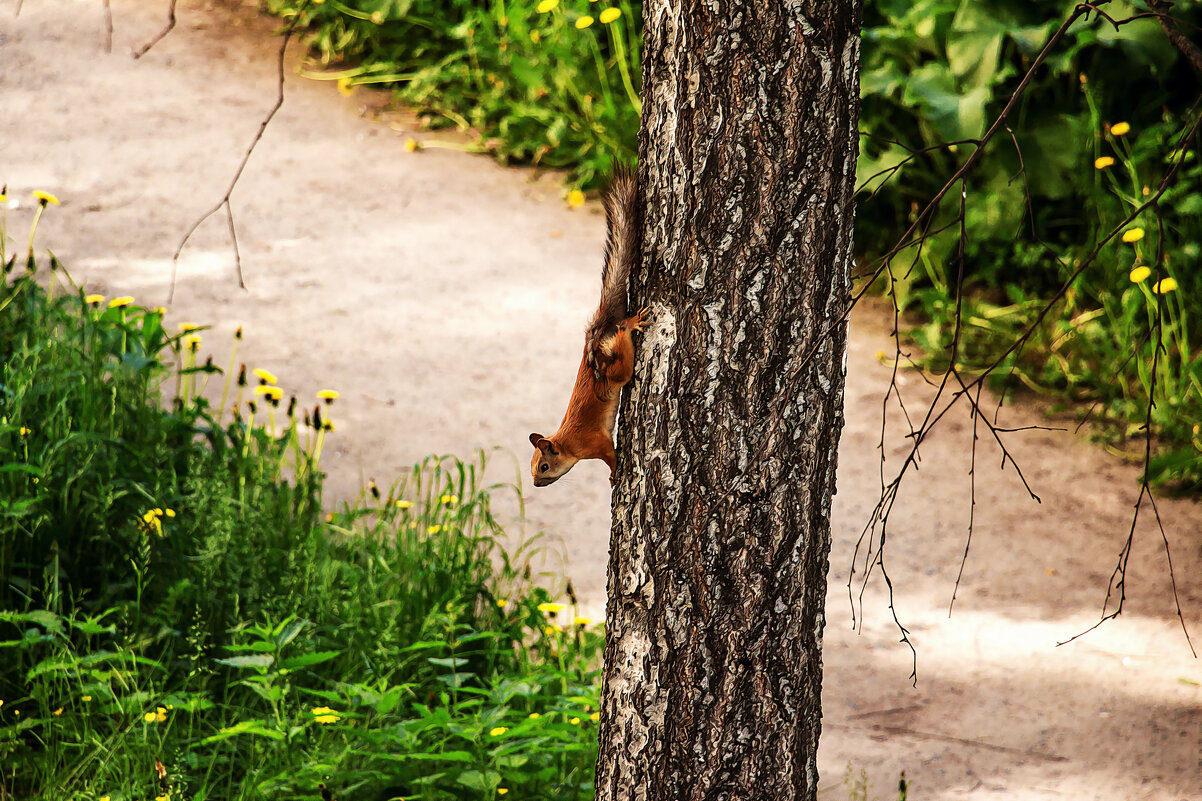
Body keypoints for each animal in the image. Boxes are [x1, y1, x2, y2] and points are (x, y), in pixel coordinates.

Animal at [531, 164, 649, 483]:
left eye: (543, 466)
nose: (535, 483)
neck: (567, 443)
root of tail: (597, 332)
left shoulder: (594, 442)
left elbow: (610, 456)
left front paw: (614, 474)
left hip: (615, 370)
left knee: (623, 351)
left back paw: (629, 324)